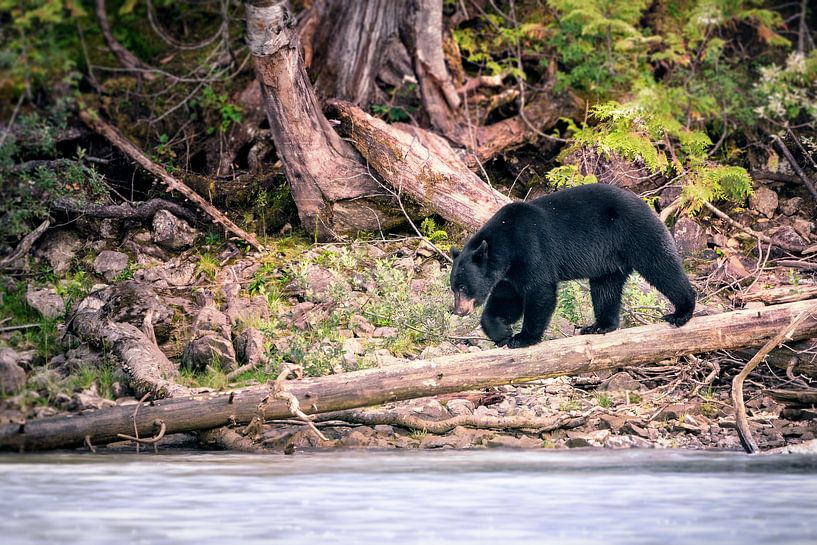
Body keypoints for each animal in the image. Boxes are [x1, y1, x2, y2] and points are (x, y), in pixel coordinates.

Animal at [450, 184, 692, 348]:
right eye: (454, 288)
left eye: (463, 287)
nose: (458, 310)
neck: (507, 242)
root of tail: (647, 204)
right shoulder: (509, 273)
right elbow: (506, 299)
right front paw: (502, 332)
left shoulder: (531, 248)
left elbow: (540, 291)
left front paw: (523, 338)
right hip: (608, 261)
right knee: (605, 289)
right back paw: (600, 325)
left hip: (636, 232)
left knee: (661, 266)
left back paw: (682, 312)